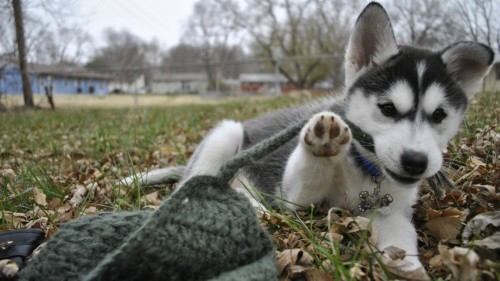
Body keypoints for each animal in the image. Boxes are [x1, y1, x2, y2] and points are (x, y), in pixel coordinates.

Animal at [124, 2, 492, 270]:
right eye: (388, 109)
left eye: (439, 116)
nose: (416, 162)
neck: (363, 168)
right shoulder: (294, 198)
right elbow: (307, 176)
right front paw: (322, 145)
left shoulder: (393, 210)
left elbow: (401, 238)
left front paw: (409, 269)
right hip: (226, 135)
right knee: (191, 185)